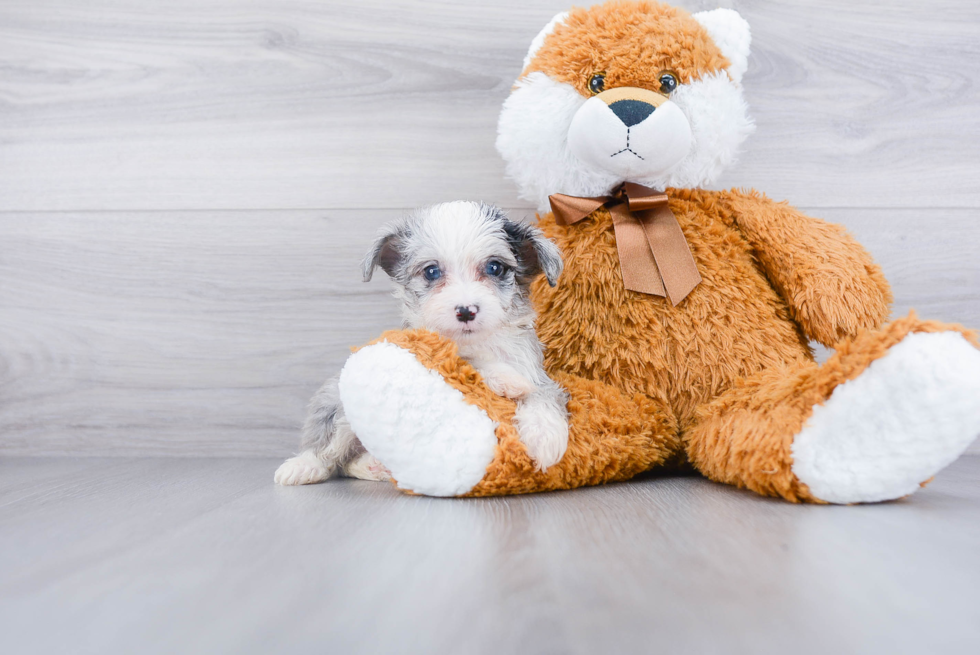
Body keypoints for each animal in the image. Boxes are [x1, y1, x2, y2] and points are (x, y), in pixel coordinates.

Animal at [272, 202, 572, 484]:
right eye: (431, 271)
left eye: (495, 267)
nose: (466, 311)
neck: (476, 342)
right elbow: (469, 363)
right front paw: (505, 378)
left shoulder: (537, 373)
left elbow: (542, 395)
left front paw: (544, 435)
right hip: (338, 406)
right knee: (329, 449)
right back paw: (303, 465)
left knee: (349, 461)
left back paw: (376, 465)